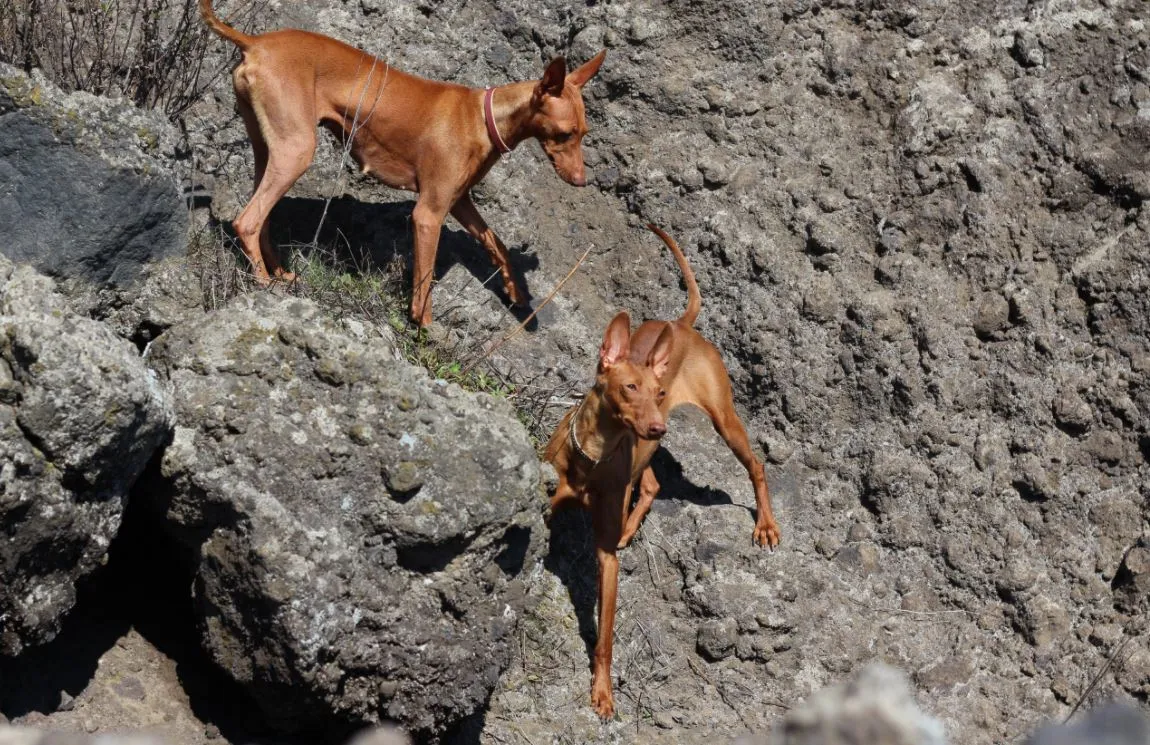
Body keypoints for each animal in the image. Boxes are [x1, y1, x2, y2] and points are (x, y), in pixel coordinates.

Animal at [201, 0, 607, 326]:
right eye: (565, 134)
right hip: (297, 151)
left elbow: (497, 244)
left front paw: (515, 291)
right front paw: (425, 330)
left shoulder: (459, 202)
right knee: (247, 221)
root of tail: (256, 42)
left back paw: (281, 274)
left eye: (584, 133)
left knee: (262, 217)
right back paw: (264, 283)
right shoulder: (428, 214)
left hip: (268, 151)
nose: (581, 180)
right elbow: (424, 282)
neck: (481, 117)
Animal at [545, 224, 782, 717]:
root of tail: (682, 325)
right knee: (651, 484)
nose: (658, 423)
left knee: (755, 464)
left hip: (722, 420)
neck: (593, 456)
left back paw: (766, 525)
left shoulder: (606, 561)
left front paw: (603, 691)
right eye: (629, 388)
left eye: (656, 391)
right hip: (651, 450)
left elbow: (606, 638)